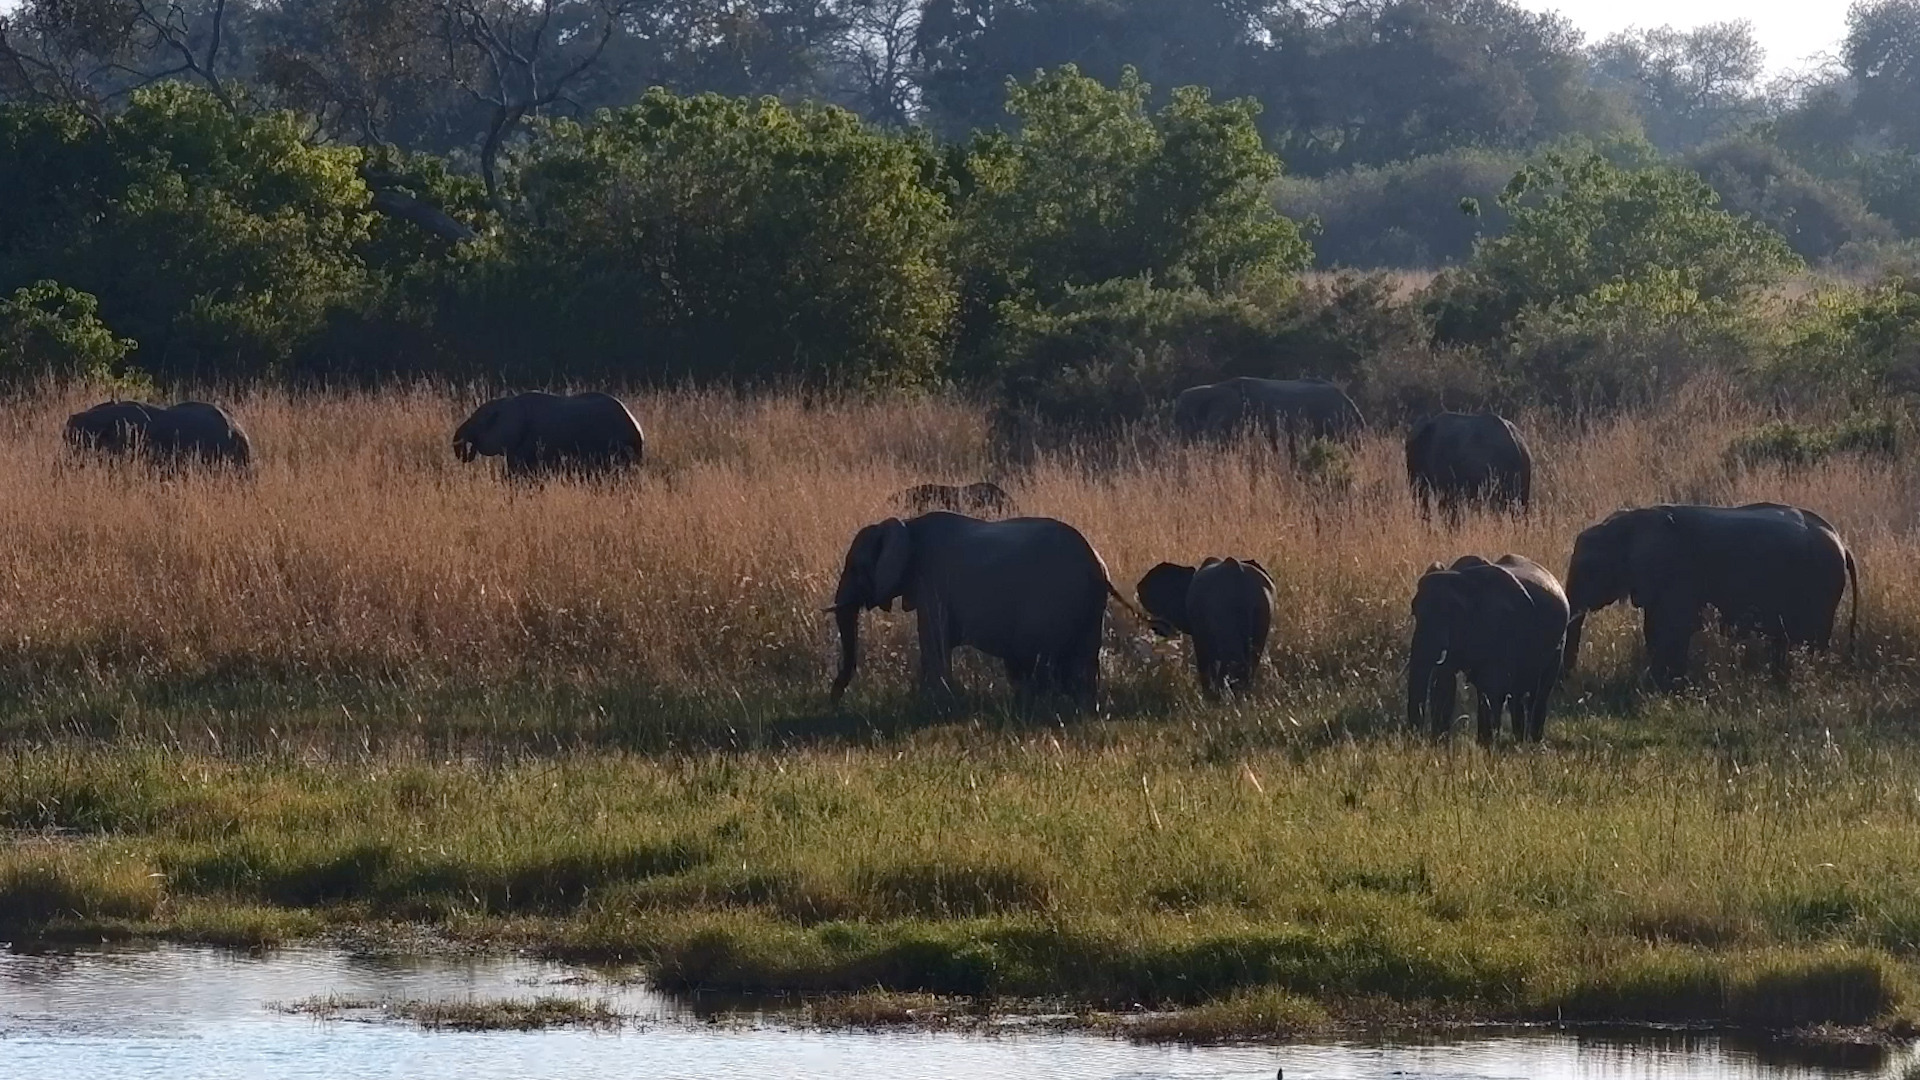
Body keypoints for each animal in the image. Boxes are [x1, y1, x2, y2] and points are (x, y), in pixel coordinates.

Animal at [827, 512, 1140, 705]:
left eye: (854, 568)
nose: (833, 700)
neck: (905, 525)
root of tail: (1098, 567)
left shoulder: (932, 583)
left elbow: (932, 641)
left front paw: (935, 702)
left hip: (1054, 604)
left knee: (1041, 664)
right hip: (1088, 611)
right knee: (1080, 664)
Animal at [1408, 554, 1569, 744]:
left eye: (1450, 614)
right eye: (1414, 612)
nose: (1415, 738)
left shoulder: (1503, 626)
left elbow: (1493, 683)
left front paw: (1486, 744)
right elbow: (1445, 682)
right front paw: (1440, 743)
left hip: (1559, 643)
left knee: (1540, 690)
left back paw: (1531, 741)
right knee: (1517, 693)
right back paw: (1518, 739)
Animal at [1563, 503, 1859, 691]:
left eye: (1589, 569)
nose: (1568, 682)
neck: (1628, 522)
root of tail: (1842, 544)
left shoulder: (1679, 572)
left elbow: (1675, 628)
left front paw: (1664, 686)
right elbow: (1655, 627)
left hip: (1821, 584)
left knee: (1810, 639)